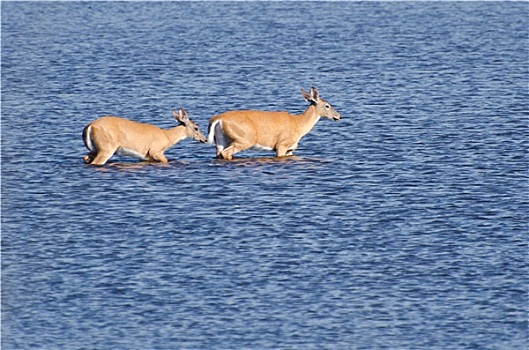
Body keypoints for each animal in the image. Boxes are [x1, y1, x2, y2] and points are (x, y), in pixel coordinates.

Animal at [204, 86, 340, 160]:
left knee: (219, 153)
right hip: (244, 138)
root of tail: (218, 119)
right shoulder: (282, 144)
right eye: (327, 106)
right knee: (226, 153)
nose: (339, 116)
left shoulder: (290, 148)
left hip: (221, 139)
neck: (298, 124)